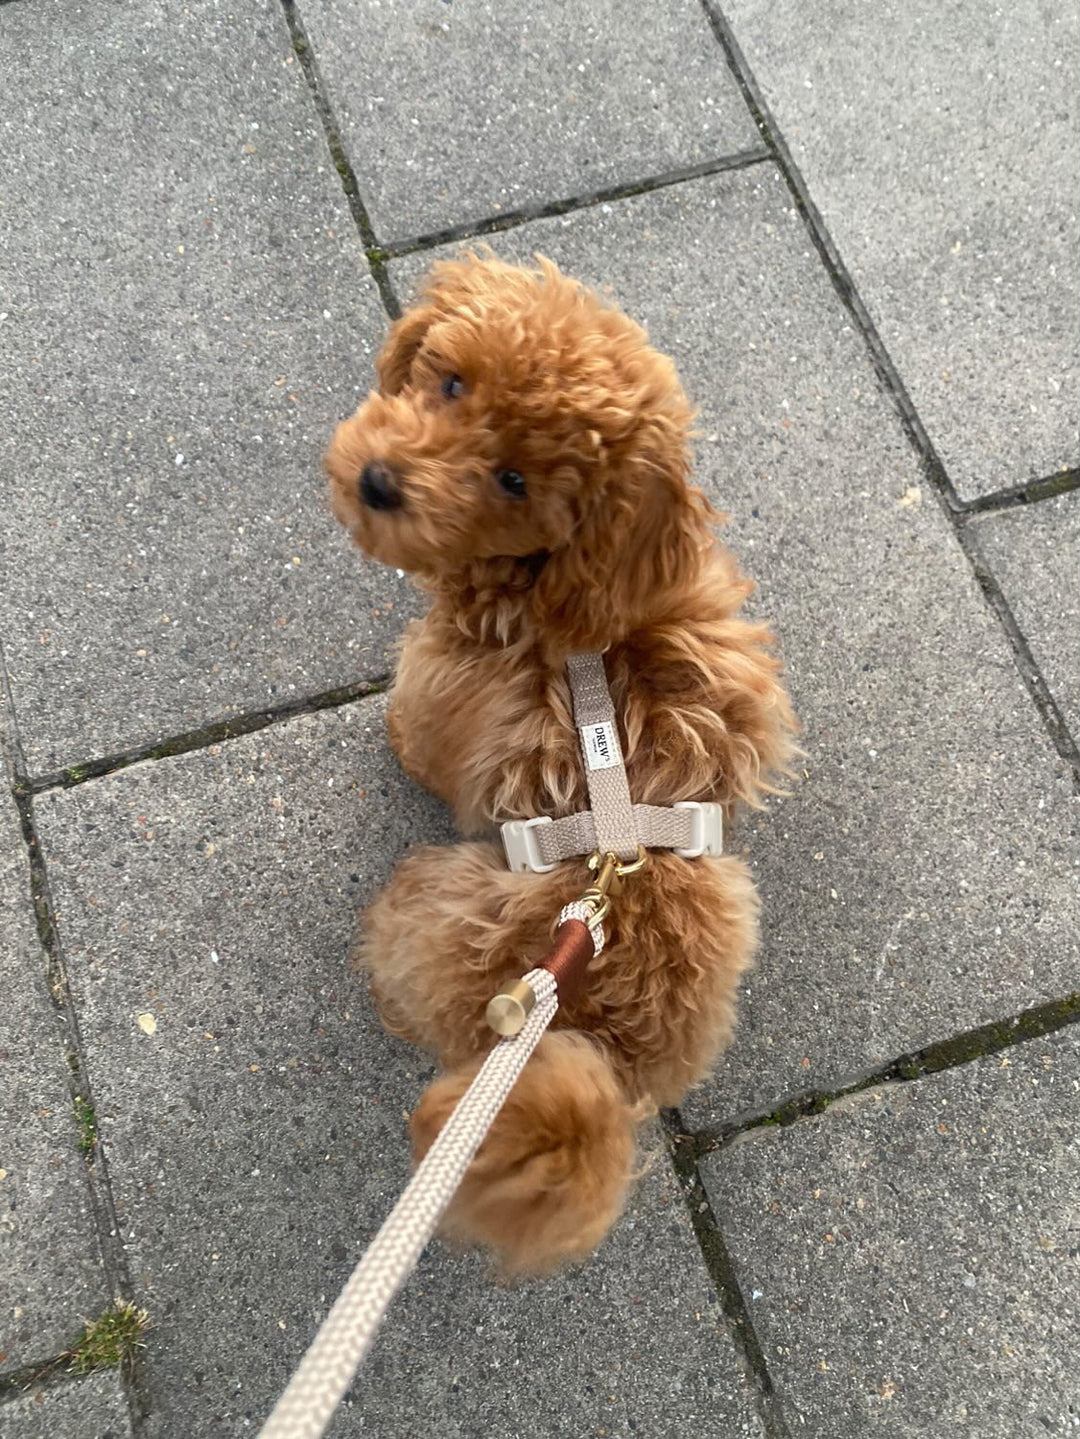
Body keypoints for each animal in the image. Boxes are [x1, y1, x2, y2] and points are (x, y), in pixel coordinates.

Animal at [325, 253, 799, 1277]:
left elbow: (414, 731)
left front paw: (393, 744)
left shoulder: (440, 687)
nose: (380, 482)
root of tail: (609, 1050)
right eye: (451, 382)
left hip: (434, 913)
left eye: (513, 480)